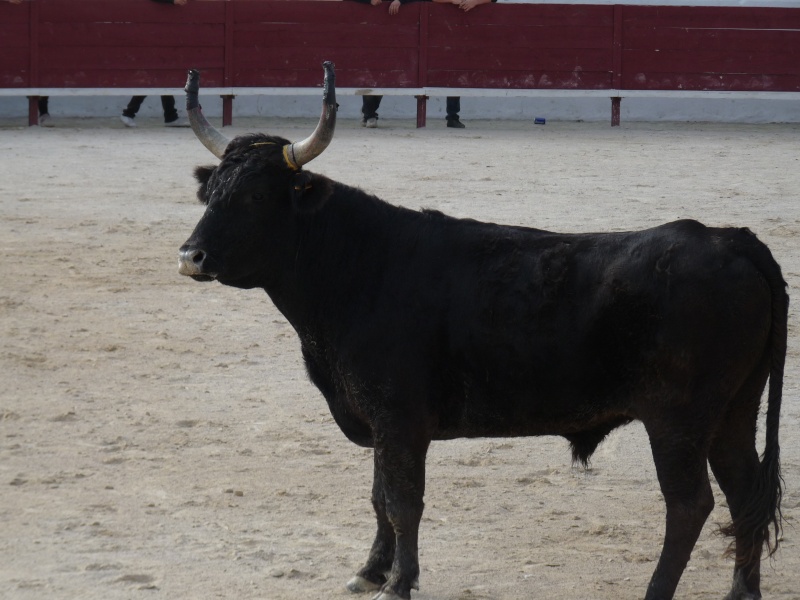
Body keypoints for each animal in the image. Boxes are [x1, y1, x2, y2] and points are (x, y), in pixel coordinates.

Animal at [178, 65, 784, 600]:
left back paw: (657, 591)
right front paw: (370, 572)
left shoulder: (399, 419)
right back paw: (741, 591)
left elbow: (402, 501)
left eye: (257, 196)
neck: (360, 264)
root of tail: (730, 238)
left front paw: (398, 583)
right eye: (210, 195)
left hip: (677, 420)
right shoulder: (378, 420)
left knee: (690, 505)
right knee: (744, 490)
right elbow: (378, 497)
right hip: (733, 411)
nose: (191, 257)